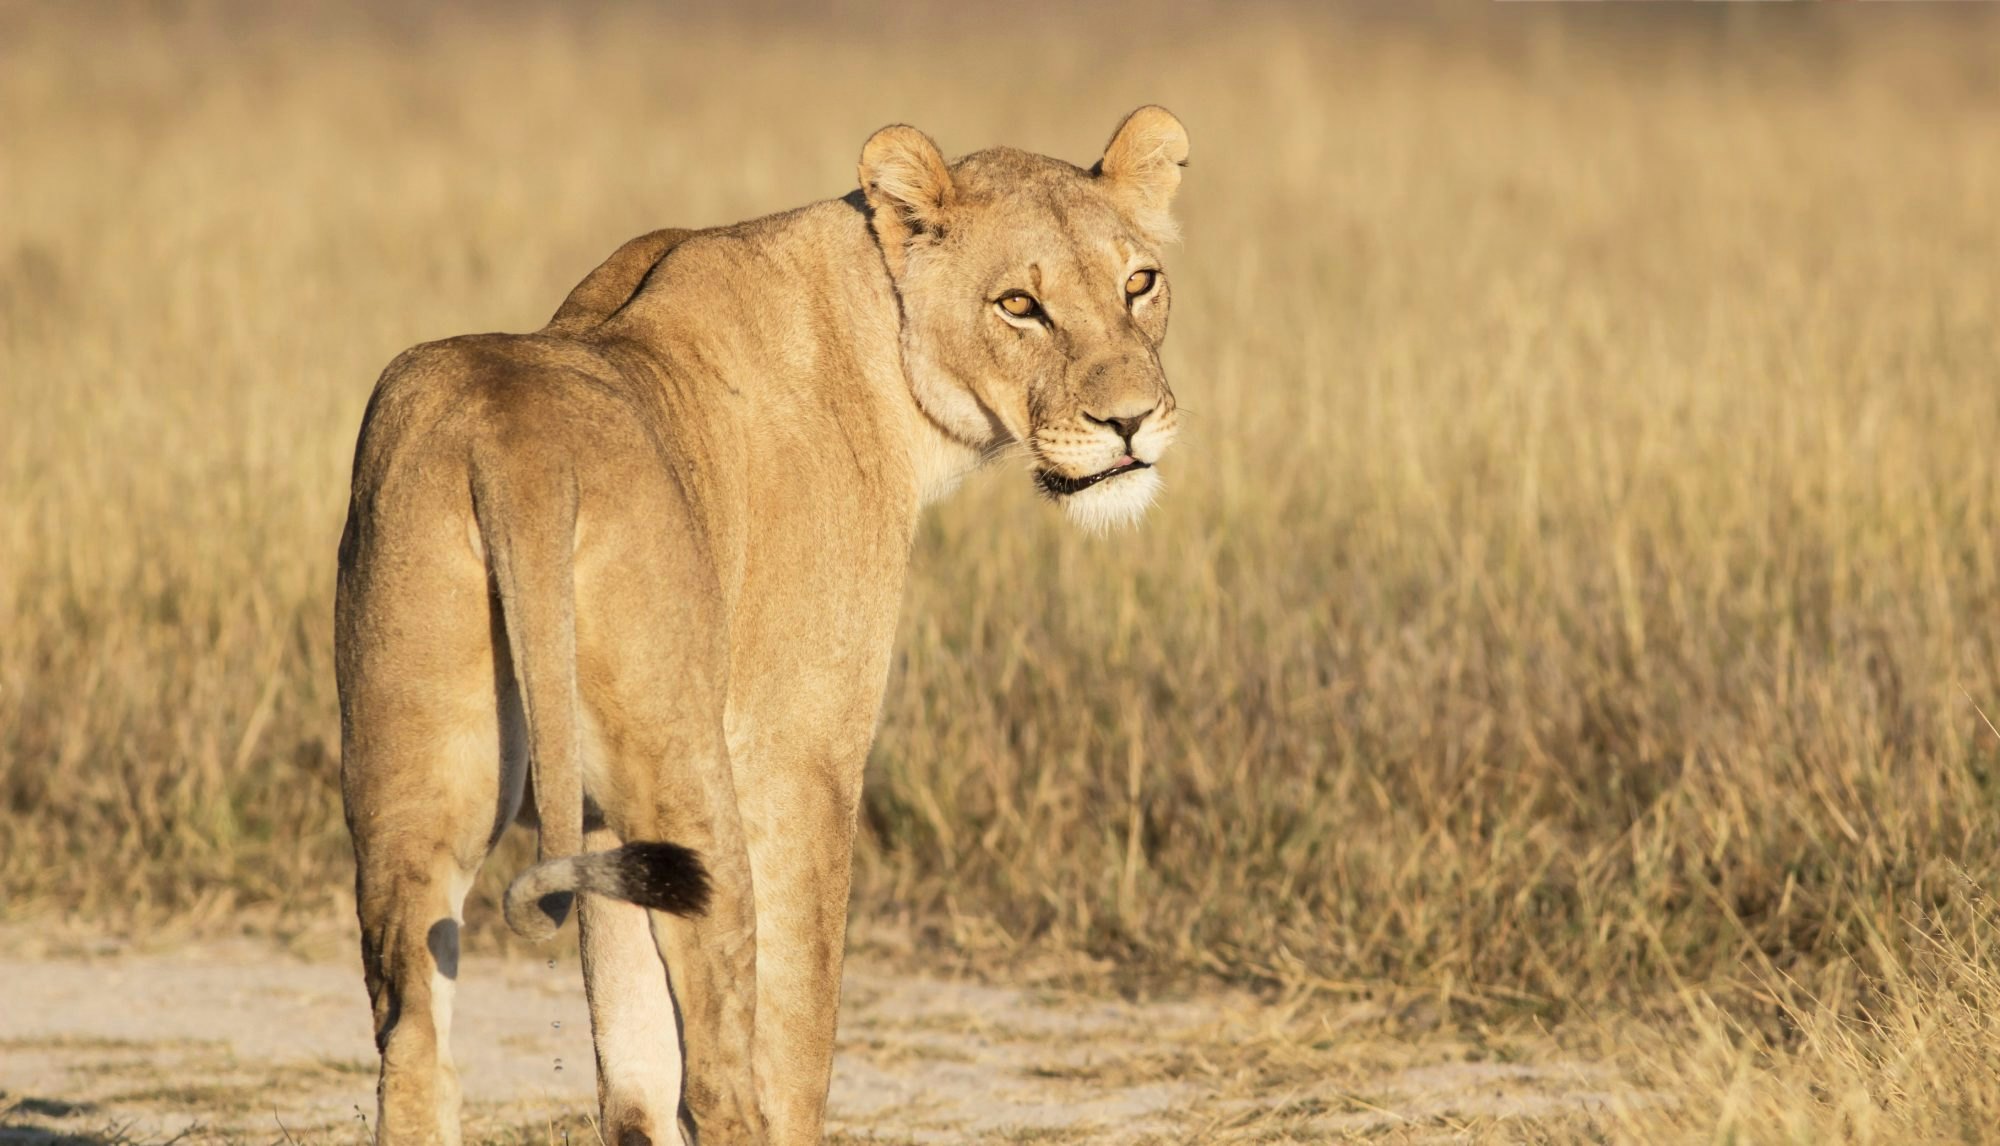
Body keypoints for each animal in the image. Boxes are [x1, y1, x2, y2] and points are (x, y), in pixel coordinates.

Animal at [334, 106, 1189, 1146]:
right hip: (693, 785)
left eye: (1139, 283)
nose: (1131, 423)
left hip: (411, 772)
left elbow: (631, 1072)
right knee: (722, 1078)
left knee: (418, 1047)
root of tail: (514, 449)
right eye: (1020, 305)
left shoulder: (601, 816)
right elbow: (796, 1037)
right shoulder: (802, 757)